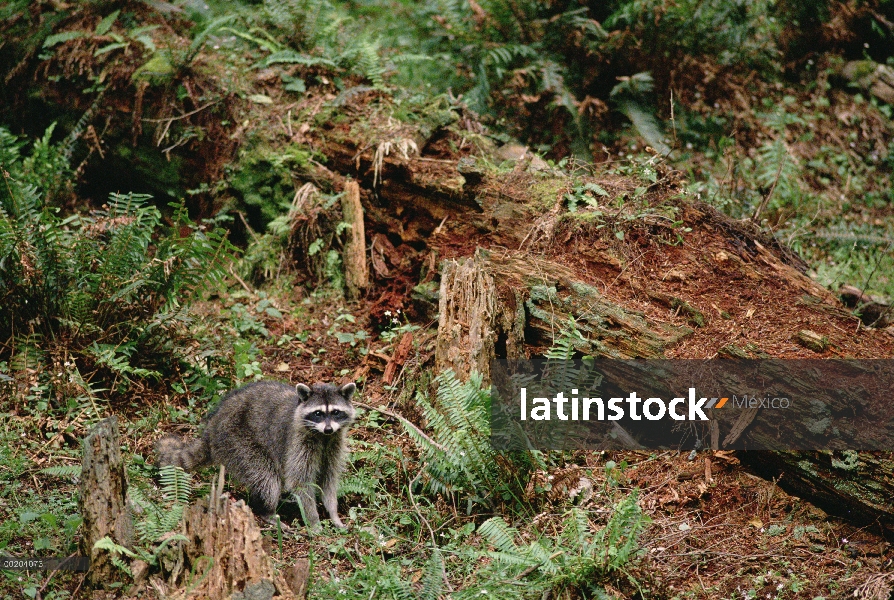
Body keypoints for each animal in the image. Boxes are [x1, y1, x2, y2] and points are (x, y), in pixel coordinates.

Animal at [158, 382, 356, 528]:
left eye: (336, 412)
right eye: (318, 413)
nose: (328, 428)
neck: (323, 436)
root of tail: (210, 430)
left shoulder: (334, 443)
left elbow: (328, 479)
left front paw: (333, 513)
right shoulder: (298, 442)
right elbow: (300, 482)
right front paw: (314, 520)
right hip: (237, 442)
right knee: (267, 478)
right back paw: (267, 512)